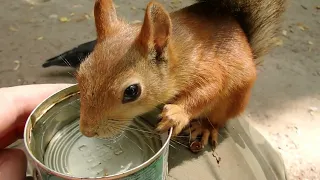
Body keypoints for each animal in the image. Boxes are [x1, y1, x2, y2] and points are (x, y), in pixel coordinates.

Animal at [76, 0, 286, 149]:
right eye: (80, 73)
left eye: (132, 91)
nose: (87, 131)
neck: (177, 59)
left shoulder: (206, 67)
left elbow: (210, 87)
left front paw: (176, 114)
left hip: (232, 100)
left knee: (217, 119)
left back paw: (205, 127)